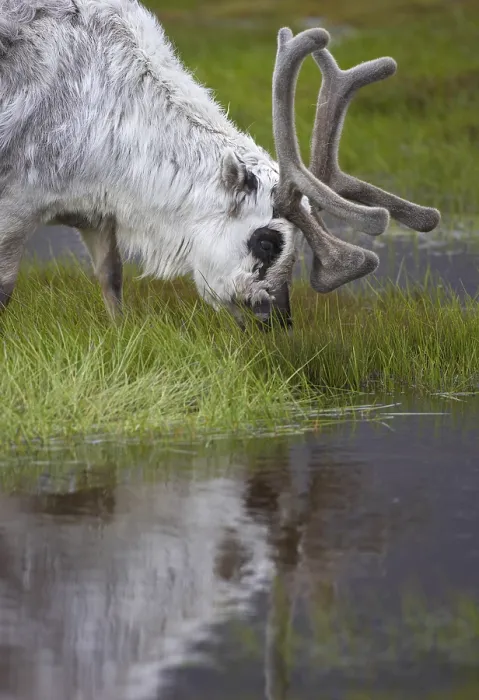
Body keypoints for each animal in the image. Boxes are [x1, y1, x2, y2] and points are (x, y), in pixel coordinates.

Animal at [0, 0, 440, 328]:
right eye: (266, 241)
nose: (277, 319)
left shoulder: (97, 214)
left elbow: (112, 281)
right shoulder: (17, 207)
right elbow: (5, 289)